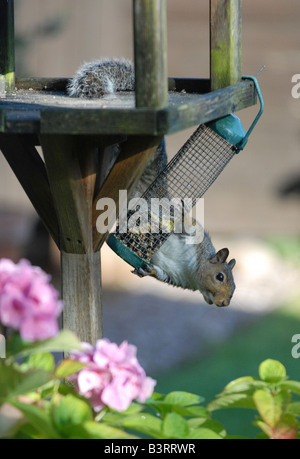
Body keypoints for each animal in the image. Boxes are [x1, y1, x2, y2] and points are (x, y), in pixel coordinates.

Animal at [68, 59, 237, 308]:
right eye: (220, 276)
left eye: (233, 289)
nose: (224, 303)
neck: (192, 272)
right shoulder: (192, 238)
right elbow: (186, 225)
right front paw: (180, 215)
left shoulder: (175, 277)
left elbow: (161, 274)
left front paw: (147, 271)